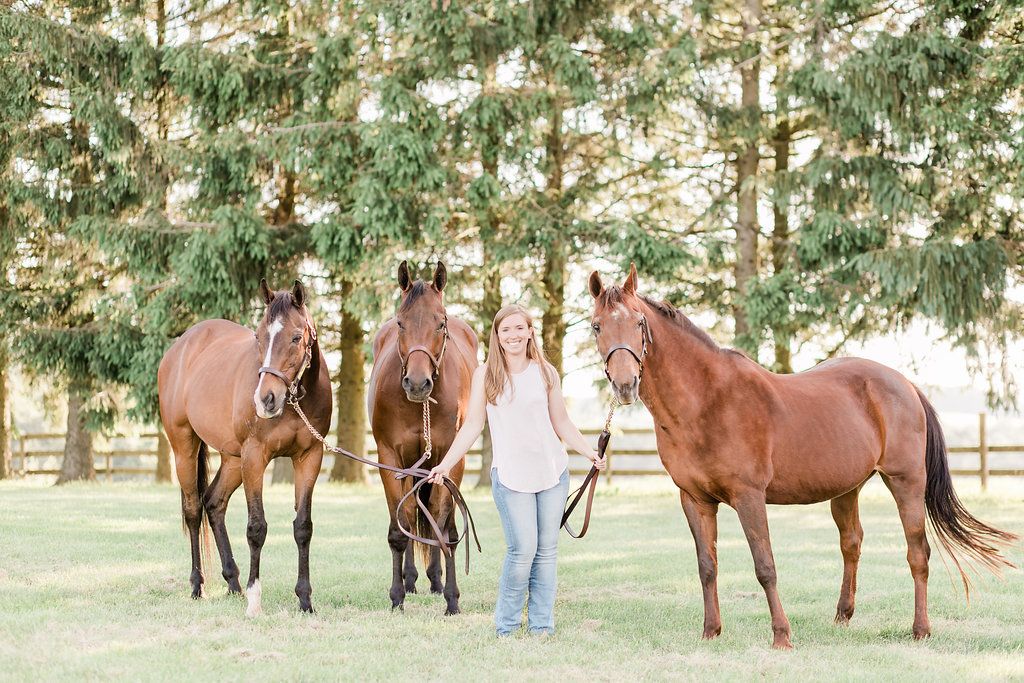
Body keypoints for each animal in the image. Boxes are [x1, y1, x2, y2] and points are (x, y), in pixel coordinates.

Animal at [157, 279, 332, 617]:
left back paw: (233, 582)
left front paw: (305, 599)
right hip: (185, 448)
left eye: (296, 337)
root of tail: (179, 348)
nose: (266, 399)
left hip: (233, 460)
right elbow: (256, 528)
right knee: (193, 510)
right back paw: (198, 585)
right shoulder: (255, 457)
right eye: (259, 337)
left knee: (214, 502)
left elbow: (303, 527)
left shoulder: (309, 458)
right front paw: (255, 598)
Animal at [368, 261, 478, 614]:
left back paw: (435, 581)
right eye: (400, 323)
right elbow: (399, 530)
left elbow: (443, 528)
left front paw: (452, 599)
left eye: (440, 322)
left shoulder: (450, 462)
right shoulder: (390, 460)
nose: (417, 384)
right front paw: (397, 596)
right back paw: (412, 580)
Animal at [588, 264, 1016, 649]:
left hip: (905, 481)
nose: (625, 385)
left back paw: (921, 630)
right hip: (847, 489)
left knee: (918, 553)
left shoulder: (749, 496)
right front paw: (710, 632)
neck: (707, 401)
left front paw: (781, 637)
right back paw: (843, 616)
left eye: (639, 322)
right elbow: (707, 567)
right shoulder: (694, 499)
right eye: (596, 326)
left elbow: (765, 567)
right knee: (852, 544)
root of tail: (904, 384)